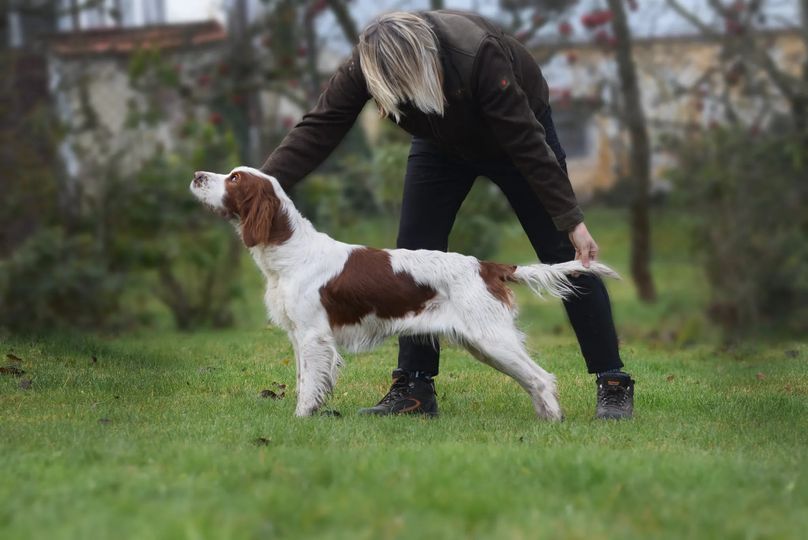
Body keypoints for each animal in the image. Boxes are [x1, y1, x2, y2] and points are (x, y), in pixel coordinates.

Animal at [191, 167, 620, 420]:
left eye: (234, 178)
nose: (196, 175)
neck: (291, 250)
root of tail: (487, 266)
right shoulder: (301, 336)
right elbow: (302, 380)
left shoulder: (313, 336)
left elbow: (309, 384)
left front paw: (302, 420)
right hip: (484, 344)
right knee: (532, 379)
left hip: (491, 338)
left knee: (542, 377)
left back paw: (553, 423)